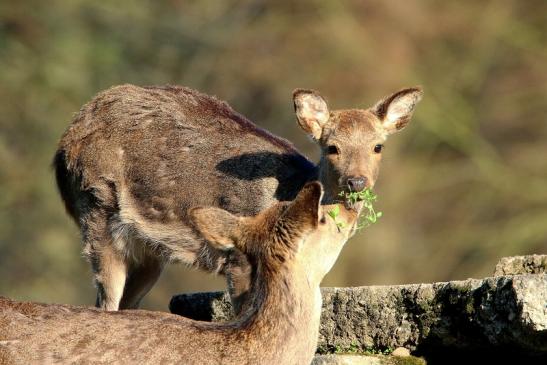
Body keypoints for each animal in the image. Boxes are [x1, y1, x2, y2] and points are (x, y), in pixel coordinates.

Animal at [54, 83, 424, 310]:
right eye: (332, 147)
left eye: (378, 146)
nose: (356, 181)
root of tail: (62, 146)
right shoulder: (238, 258)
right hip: (95, 208)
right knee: (106, 301)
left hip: (149, 250)